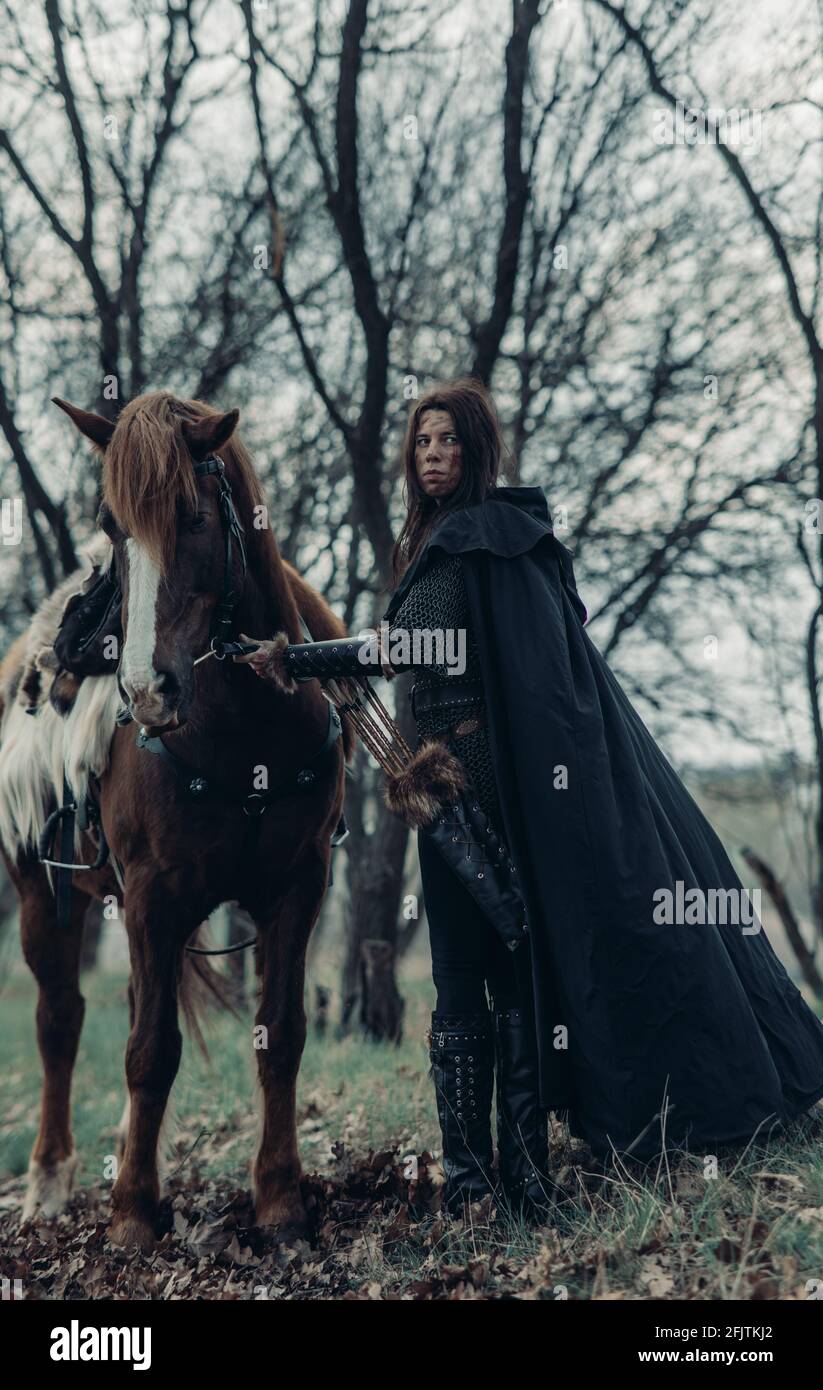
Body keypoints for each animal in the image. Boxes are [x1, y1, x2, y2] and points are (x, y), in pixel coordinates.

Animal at [0, 389, 353, 1251]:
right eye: (110, 523)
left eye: (193, 516)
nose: (145, 691)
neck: (244, 729)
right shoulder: (154, 894)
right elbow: (148, 1052)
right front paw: (131, 1213)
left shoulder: (299, 888)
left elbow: (280, 1035)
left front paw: (279, 1201)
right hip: (41, 897)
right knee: (61, 1021)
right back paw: (50, 1183)